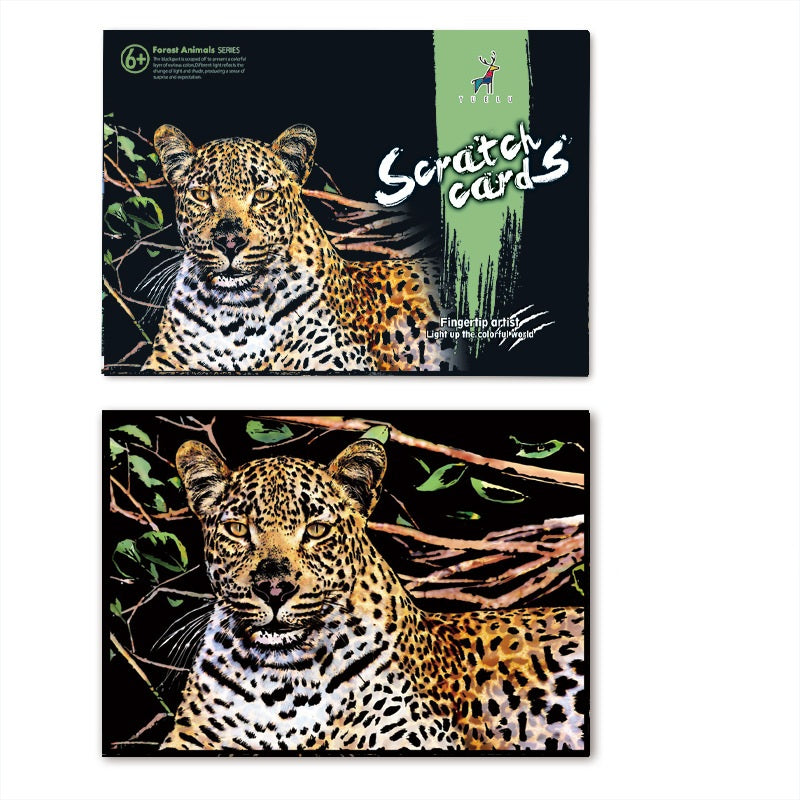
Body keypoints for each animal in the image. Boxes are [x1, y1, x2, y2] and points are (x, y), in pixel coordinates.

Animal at [142, 124, 453, 372]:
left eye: (262, 196)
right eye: (201, 195)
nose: (230, 241)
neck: (235, 316)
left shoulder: (338, 362)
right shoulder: (164, 362)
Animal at [161, 437, 586, 752]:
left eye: (316, 530)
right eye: (236, 529)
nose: (274, 589)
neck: (282, 679)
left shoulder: (414, 739)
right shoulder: (189, 740)